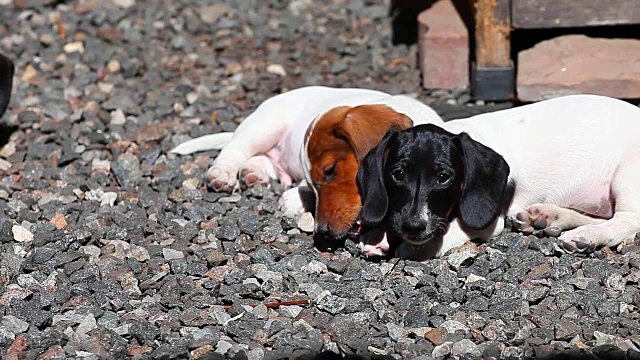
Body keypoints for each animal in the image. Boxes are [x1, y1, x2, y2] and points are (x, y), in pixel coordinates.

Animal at [358, 94, 640, 260]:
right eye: (397, 174)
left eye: (443, 177)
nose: (413, 227)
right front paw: (378, 234)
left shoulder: (486, 221)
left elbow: (453, 229)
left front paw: (417, 248)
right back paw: (547, 217)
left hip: (628, 175)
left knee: (627, 219)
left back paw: (588, 235)